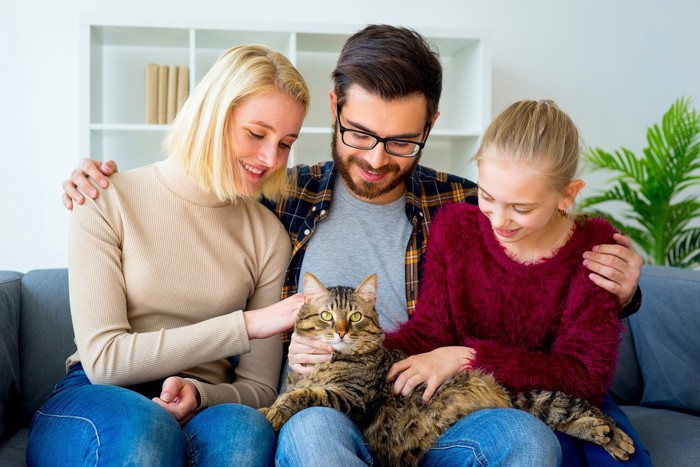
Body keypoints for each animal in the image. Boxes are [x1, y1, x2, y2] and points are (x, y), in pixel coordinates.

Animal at [262, 272, 636, 466]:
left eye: (354, 317)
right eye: (327, 315)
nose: (340, 332)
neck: (330, 363)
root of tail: (502, 392)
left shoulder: (355, 399)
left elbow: (305, 395)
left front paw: (275, 410)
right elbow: (296, 391)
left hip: (537, 401)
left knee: (582, 408)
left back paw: (615, 437)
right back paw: (601, 433)